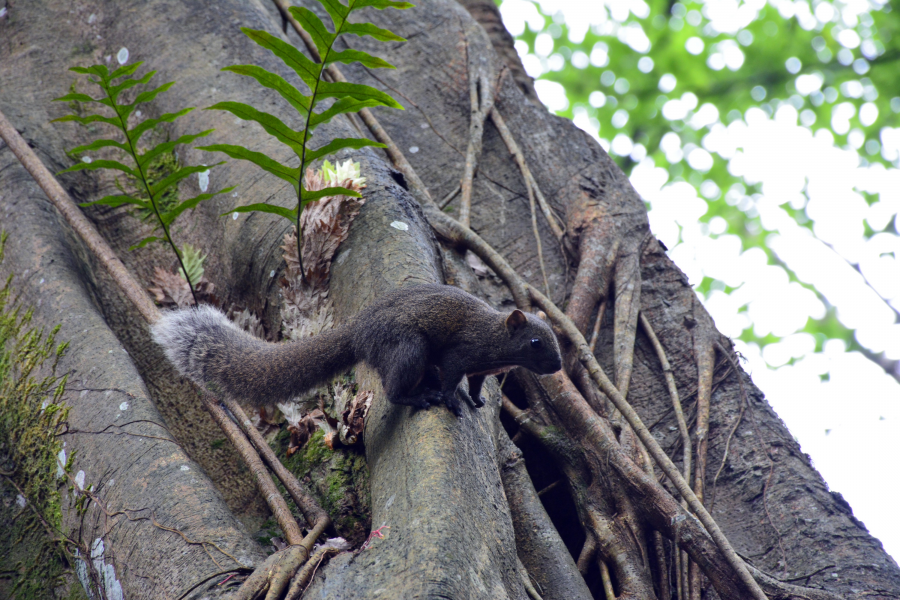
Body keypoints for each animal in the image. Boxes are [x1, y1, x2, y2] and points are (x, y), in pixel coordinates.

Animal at [153, 284, 564, 414]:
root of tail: (358, 332)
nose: (559, 366)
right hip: (408, 349)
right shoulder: (463, 352)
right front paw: (452, 399)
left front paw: (477, 400)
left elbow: (477, 385)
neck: (496, 341)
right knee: (393, 391)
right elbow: (452, 376)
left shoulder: (482, 369)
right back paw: (420, 397)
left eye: (557, 339)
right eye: (535, 342)